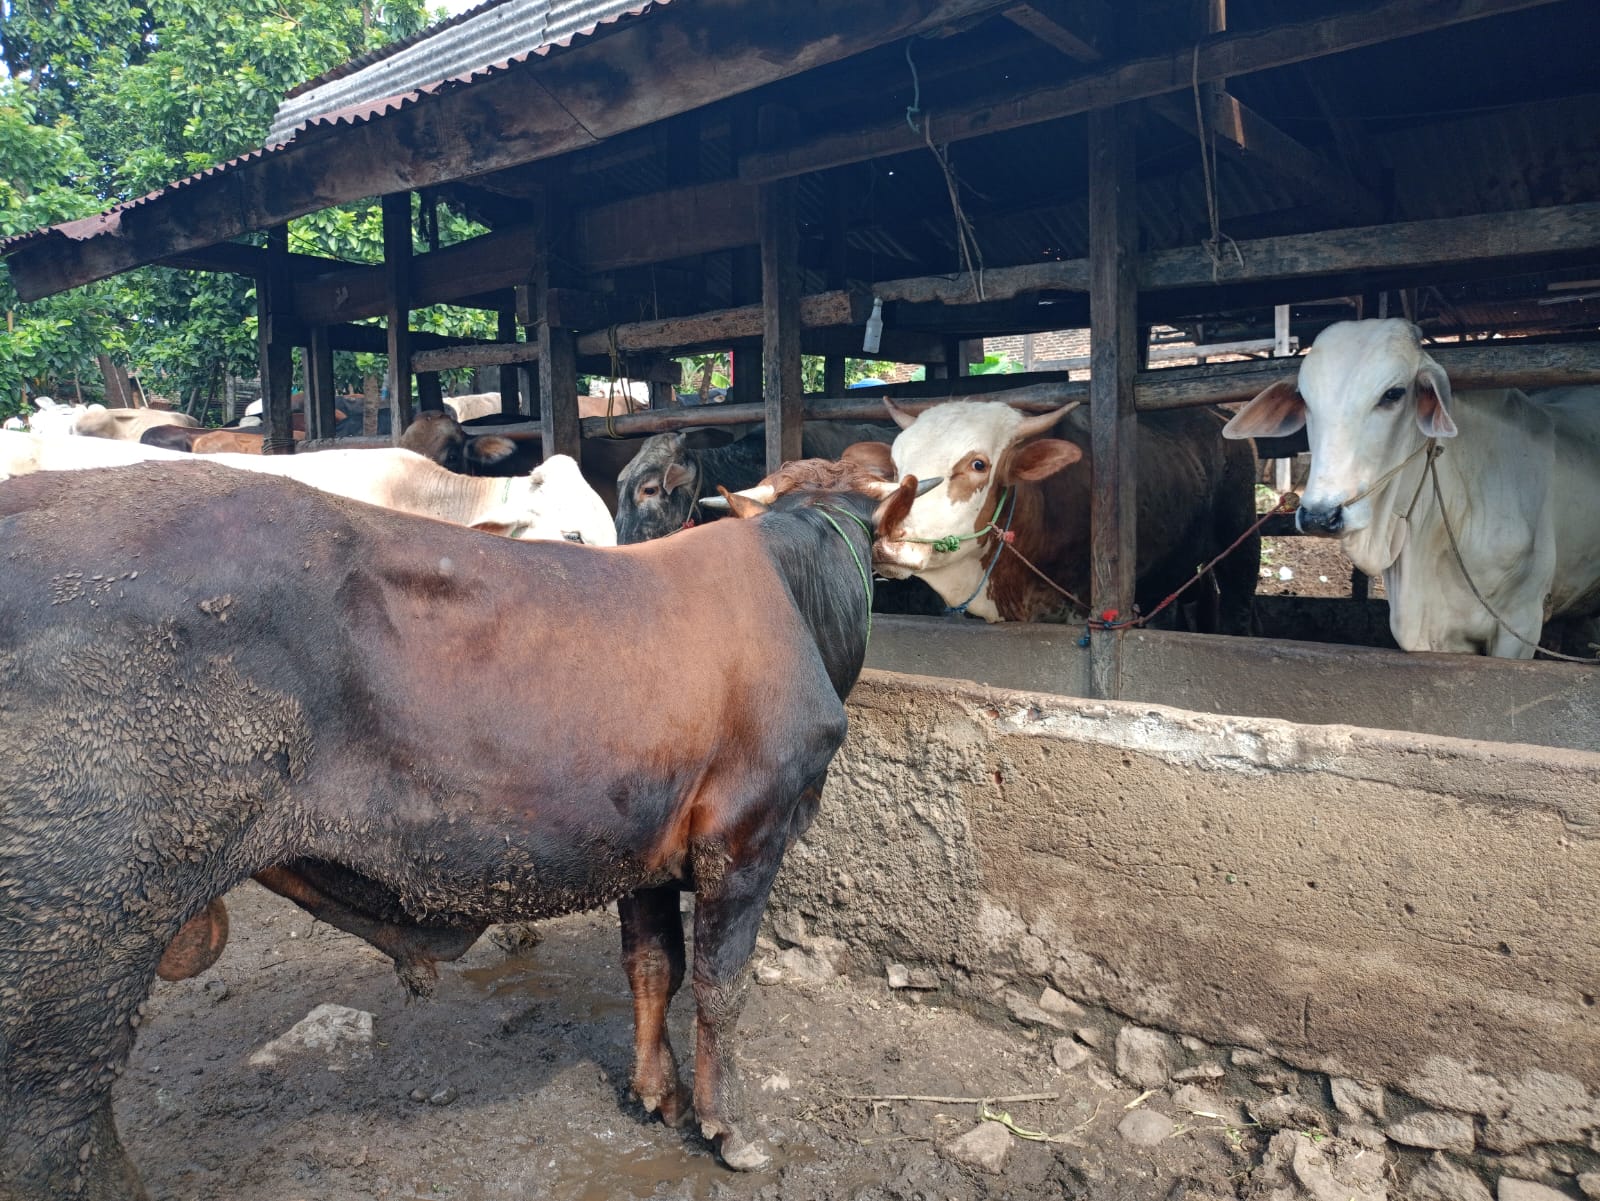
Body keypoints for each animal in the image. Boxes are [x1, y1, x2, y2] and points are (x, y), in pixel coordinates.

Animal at [0, 450, 928, 1196]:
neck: (796, 593)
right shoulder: (747, 834)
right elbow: (720, 987)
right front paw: (729, 1130)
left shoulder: (648, 850)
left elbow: (651, 967)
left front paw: (654, 1093)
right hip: (73, 954)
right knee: (55, 1137)